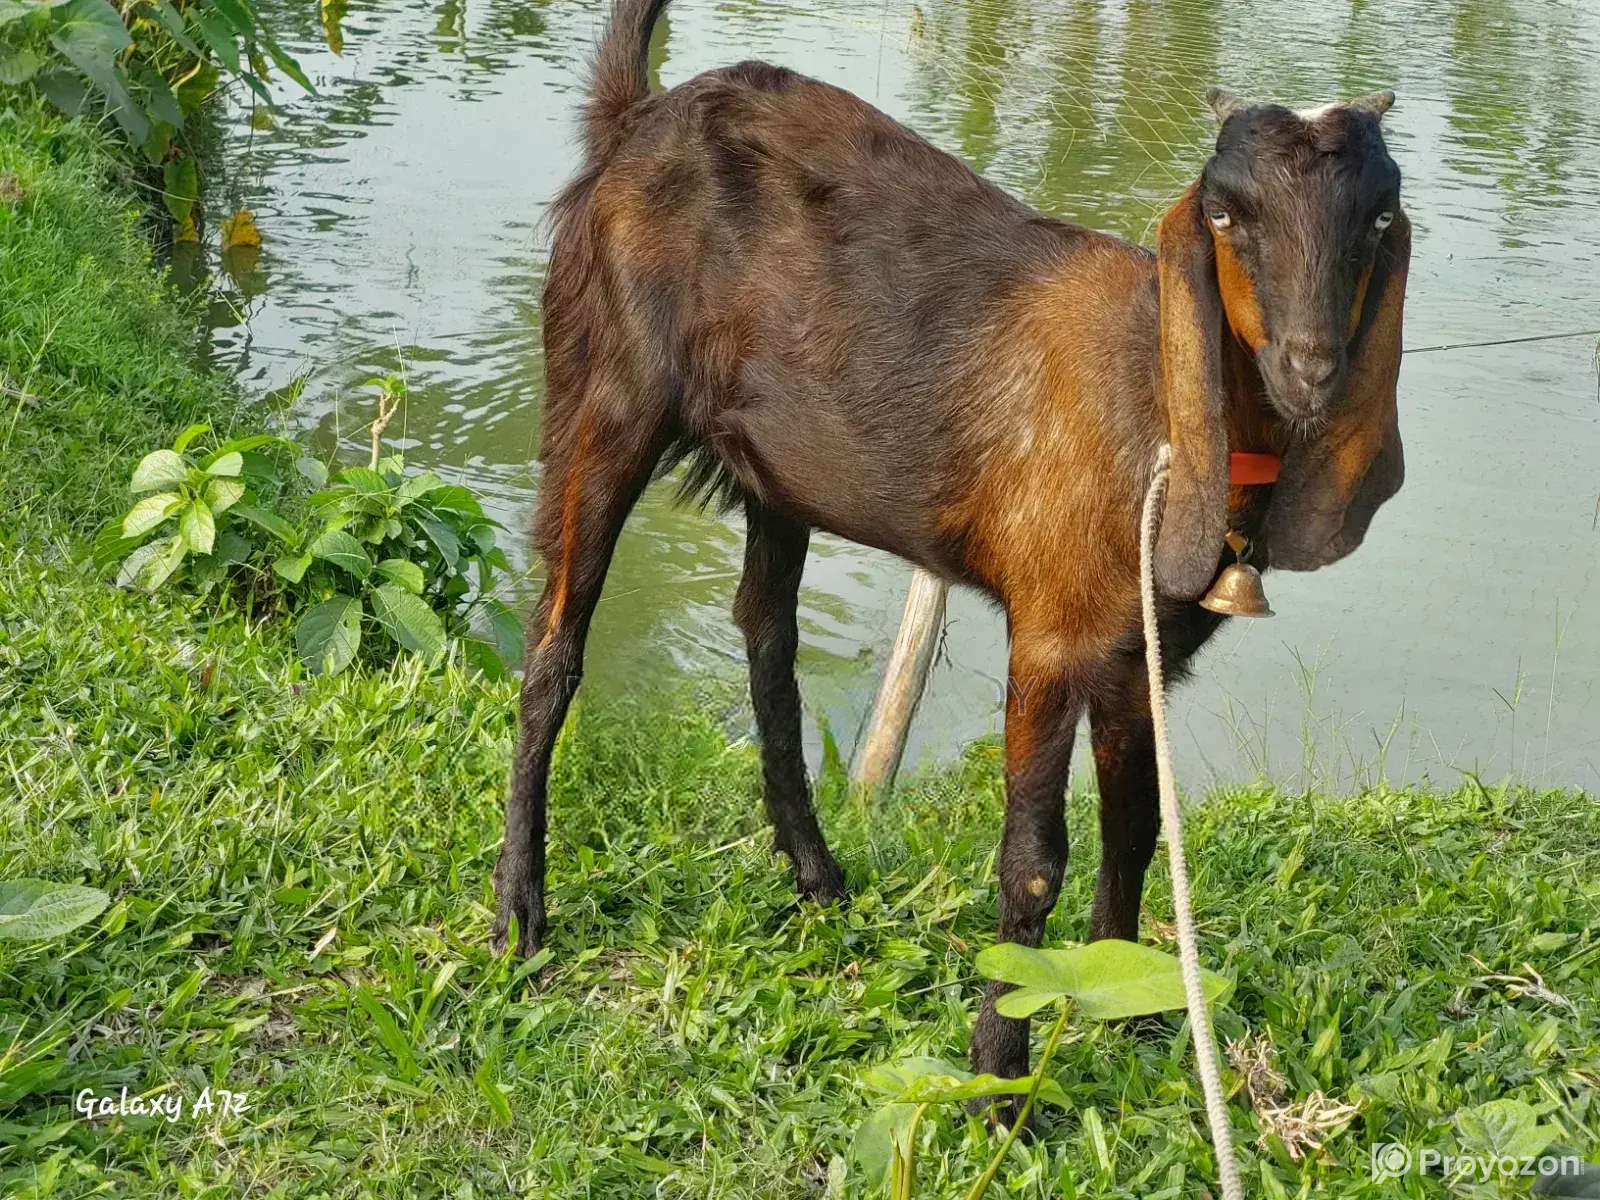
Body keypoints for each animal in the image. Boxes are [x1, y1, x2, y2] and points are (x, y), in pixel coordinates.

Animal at [493, 0, 1410, 1091]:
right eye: (1226, 214)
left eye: (1380, 216)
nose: (1311, 368)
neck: (1151, 400)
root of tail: (634, 119)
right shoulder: (1052, 635)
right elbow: (1034, 859)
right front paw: (996, 1077)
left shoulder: (1137, 651)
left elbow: (1137, 828)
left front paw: (1131, 1013)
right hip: (604, 387)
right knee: (555, 644)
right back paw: (518, 917)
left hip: (775, 471)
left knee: (765, 638)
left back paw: (817, 877)